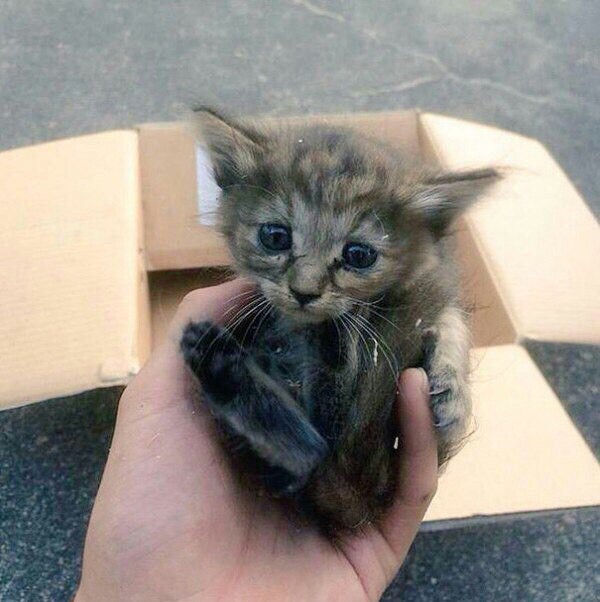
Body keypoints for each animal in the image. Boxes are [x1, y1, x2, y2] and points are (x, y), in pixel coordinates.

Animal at [180, 106, 500, 528]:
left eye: (358, 255)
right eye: (275, 237)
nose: (304, 292)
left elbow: (452, 321)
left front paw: (453, 393)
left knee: (311, 457)